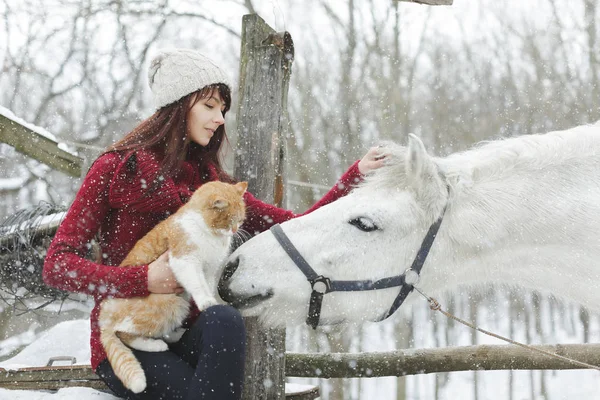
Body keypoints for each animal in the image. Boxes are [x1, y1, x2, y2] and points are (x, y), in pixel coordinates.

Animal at [98, 181, 246, 394]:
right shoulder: (185, 261)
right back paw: (155, 346)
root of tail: (103, 316)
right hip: (168, 303)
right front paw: (207, 302)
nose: (235, 230)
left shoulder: (210, 269)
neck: (209, 234)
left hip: (179, 302)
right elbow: (198, 285)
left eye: (240, 220)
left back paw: (177, 333)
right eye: (228, 220)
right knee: (123, 332)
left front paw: (213, 300)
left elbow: (208, 286)